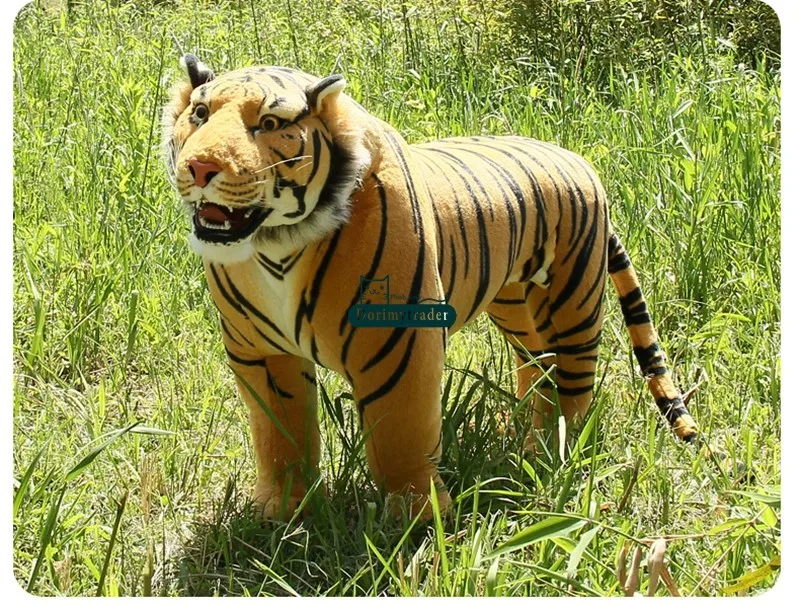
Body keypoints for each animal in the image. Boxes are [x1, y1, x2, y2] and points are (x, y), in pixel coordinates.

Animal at [162, 54, 699, 520]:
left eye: (269, 125)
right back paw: (527, 433)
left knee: (573, 378)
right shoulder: (262, 353)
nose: (201, 168)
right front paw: (283, 511)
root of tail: (578, 160)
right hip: (514, 302)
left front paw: (416, 520)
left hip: (573, 299)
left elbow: (400, 434)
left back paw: (555, 450)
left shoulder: (396, 345)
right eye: (201, 113)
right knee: (538, 362)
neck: (277, 245)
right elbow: (279, 435)